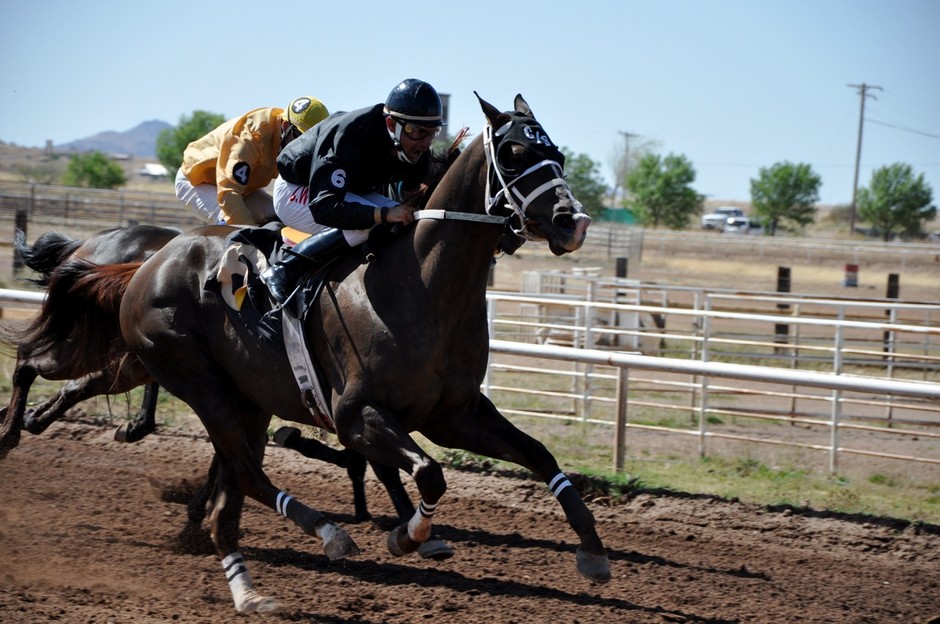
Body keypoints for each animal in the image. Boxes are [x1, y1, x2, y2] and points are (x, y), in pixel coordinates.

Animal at [60, 95, 604, 612]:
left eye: (556, 155)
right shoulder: (355, 414)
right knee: (244, 468)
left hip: (248, 397)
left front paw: (593, 550)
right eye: (514, 154)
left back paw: (243, 577)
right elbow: (429, 473)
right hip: (196, 378)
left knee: (235, 479)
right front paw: (409, 535)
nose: (573, 222)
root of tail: (148, 263)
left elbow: (537, 453)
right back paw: (325, 534)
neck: (422, 288)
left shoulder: (454, 414)